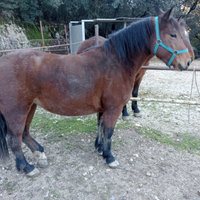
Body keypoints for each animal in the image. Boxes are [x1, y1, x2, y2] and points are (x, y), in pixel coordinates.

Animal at [0, 7, 193, 177]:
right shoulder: (113, 108)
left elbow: (100, 126)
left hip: (30, 107)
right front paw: (109, 157)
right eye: (173, 34)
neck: (116, 62)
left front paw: (99, 148)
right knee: (14, 138)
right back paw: (26, 167)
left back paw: (39, 154)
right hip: (17, 111)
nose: (188, 61)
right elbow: (108, 131)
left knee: (25, 134)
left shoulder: (103, 108)